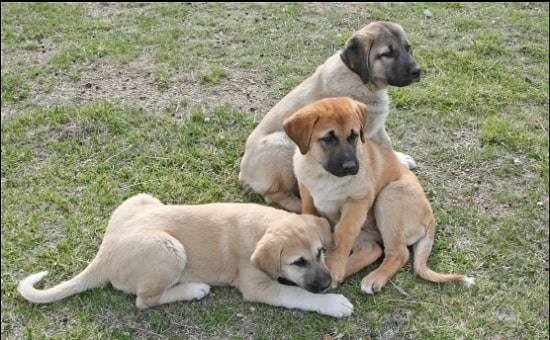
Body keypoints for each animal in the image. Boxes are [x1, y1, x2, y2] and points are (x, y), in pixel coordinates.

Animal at [17, 194, 356, 318]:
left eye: (320, 252)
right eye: (298, 263)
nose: (327, 284)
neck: (262, 225)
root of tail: (105, 253)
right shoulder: (258, 286)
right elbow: (297, 294)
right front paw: (331, 304)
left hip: (142, 199)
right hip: (168, 249)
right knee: (146, 300)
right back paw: (193, 289)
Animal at [240, 20, 422, 212]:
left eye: (408, 48)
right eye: (387, 53)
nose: (417, 71)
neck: (359, 79)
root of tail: (243, 174)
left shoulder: (376, 126)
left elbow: (387, 144)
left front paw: (399, 160)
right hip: (284, 144)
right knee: (274, 195)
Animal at [284, 97, 474, 294]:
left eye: (354, 136)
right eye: (328, 138)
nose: (351, 167)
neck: (322, 173)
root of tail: (431, 218)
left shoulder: (358, 201)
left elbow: (344, 232)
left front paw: (333, 266)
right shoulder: (307, 192)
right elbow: (311, 217)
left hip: (388, 197)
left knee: (399, 253)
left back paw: (373, 278)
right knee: (372, 250)